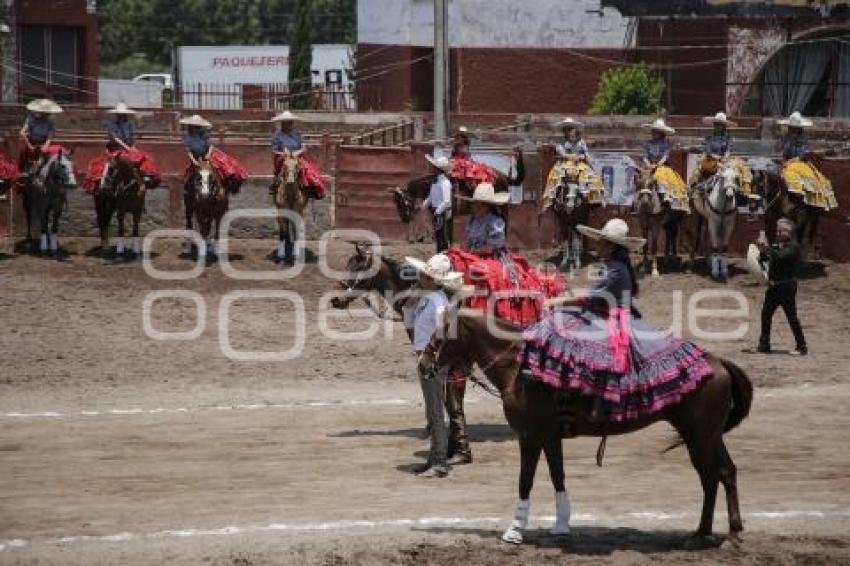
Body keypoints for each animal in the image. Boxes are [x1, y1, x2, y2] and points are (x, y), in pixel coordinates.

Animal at [420, 312, 752, 548]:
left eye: (442, 330)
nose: (423, 363)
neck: (519, 368)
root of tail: (718, 362)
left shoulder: (529, 437)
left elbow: (525, 481)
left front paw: (514, 530)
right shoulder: (550, 437)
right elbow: (558, 476)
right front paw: (561, 526)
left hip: (699, 436)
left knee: (711, 477)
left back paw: (710, 534)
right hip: (708, 435)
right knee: (725, 473)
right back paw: (723, 533)